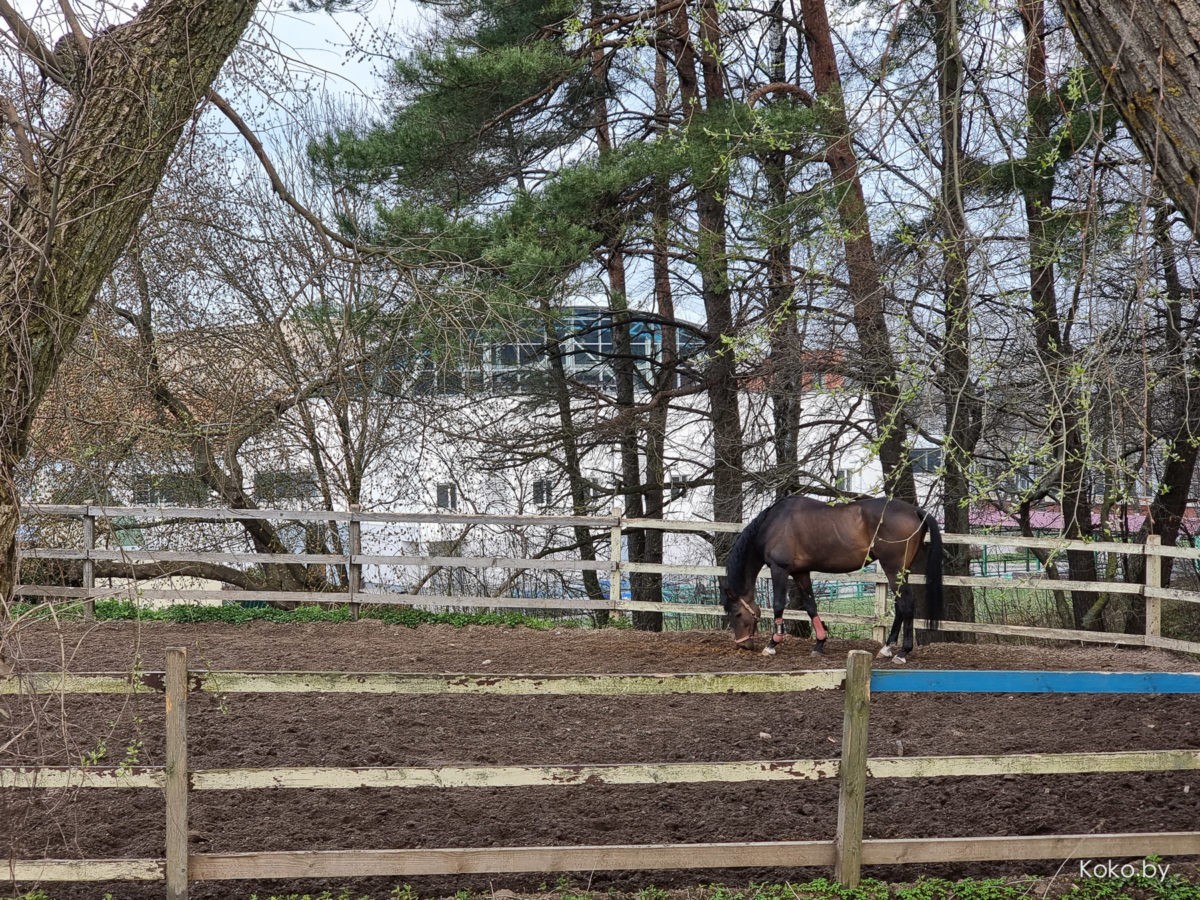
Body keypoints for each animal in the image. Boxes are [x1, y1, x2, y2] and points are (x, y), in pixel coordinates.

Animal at [715, 496, 940, 667]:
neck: (772, 525)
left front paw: (772, 644)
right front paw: (819, 643)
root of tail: (915, 510)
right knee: (900, 605)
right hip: (901, 572)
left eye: (736, 614)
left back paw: (902, 653)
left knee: (906, 604)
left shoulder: (779, 569)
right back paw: (886, 648)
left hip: (893, 569)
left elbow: (779, 605)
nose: (743, 645)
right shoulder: (801, 572)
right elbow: (810, 605)